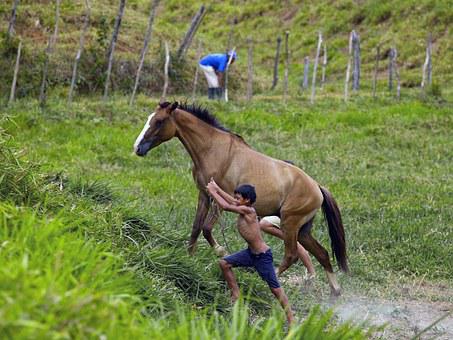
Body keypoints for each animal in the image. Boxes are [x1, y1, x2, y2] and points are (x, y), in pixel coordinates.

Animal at [132, 101, 348, 294]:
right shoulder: (204, 195)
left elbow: (206, 229)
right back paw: (335, 292)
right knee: (322, 253)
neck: (213, 149)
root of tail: (317, 187)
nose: (137, 148)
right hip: (302, 230)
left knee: (292, 255)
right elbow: (196, 228)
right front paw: (189, 259)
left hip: (290, 223)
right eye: (150, 118)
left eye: (159, 121)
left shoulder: (222, 200)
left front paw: (220, 251)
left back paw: (265, 278)